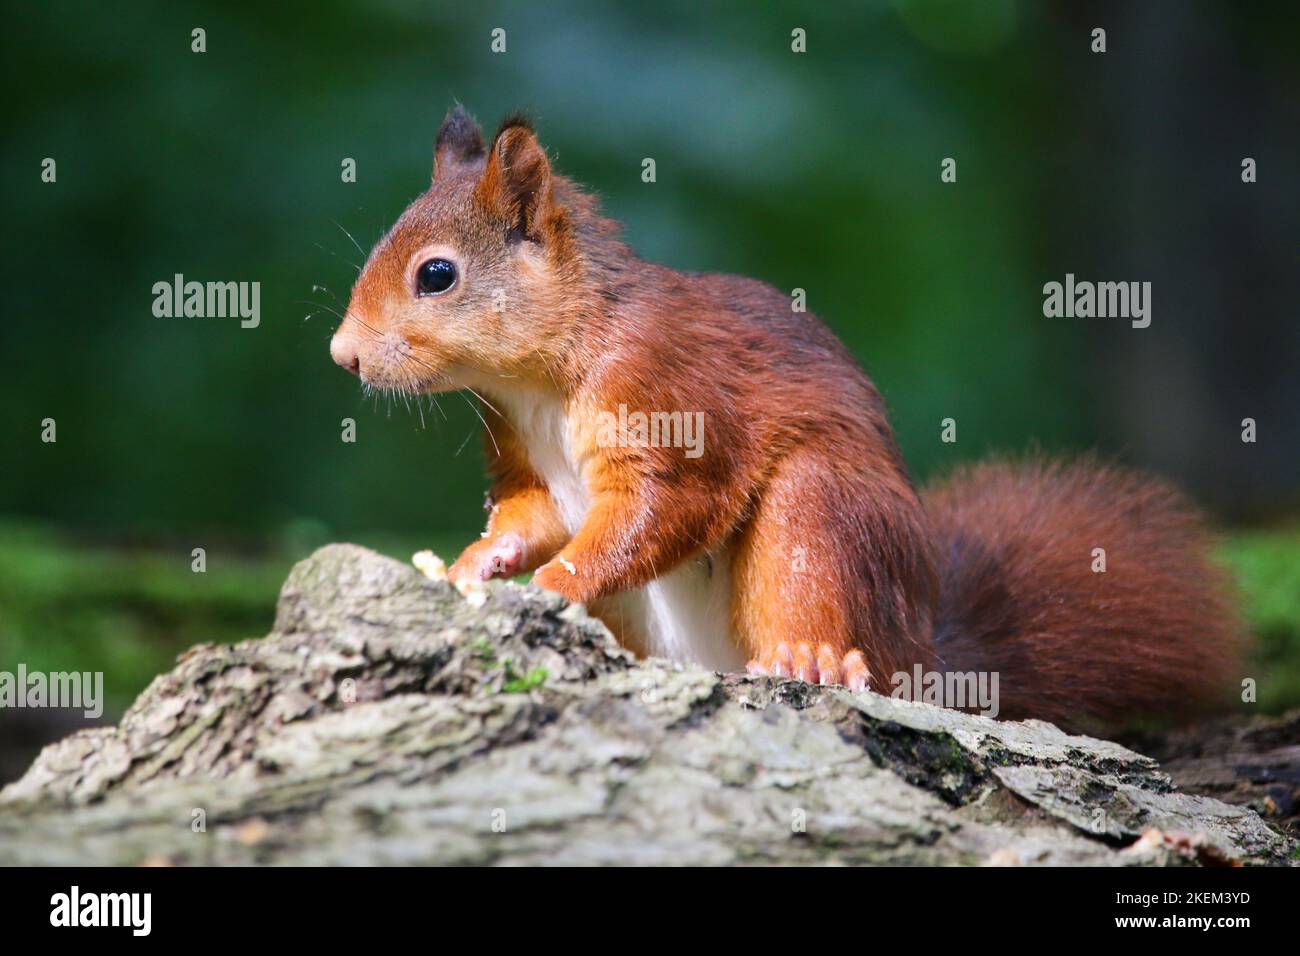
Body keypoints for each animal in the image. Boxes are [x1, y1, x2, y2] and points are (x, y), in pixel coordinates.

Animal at [329, 108, 1243, 733]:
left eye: (436, 275)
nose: (343, 355)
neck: (538, 376)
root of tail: (931, 656)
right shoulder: (523, 454)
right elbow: (531, 515)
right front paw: (468, 565)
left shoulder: (670, 398)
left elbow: (662, 509)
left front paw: (554, 584)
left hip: (823, 516)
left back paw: (813, 656)